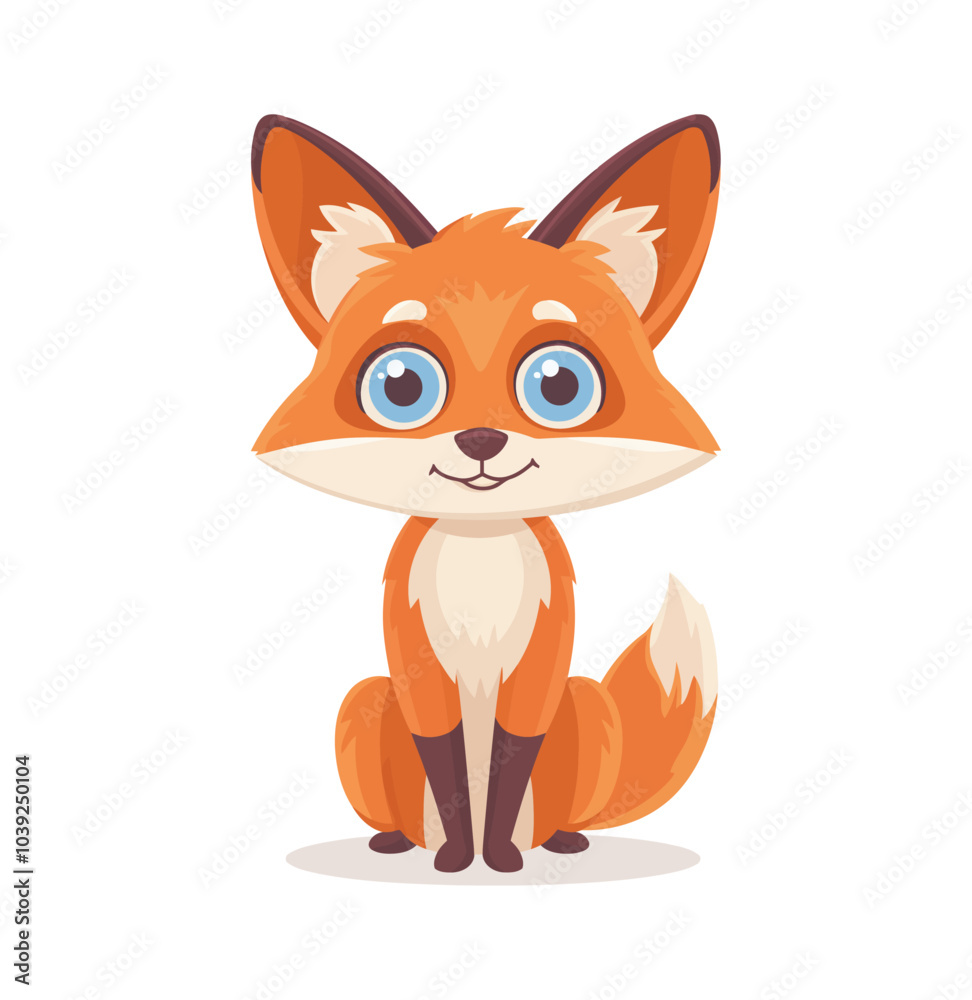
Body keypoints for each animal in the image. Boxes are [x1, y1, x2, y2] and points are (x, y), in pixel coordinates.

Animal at [249, 113, 721, 873]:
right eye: (402, 385)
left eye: (560, 385)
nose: (479, 439)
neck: (480, 554)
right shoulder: (416, 671)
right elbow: (445, 768)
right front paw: (455, 860)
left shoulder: (539, 673)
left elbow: (508, 763)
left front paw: (496, 860)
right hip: (363, 702)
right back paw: (398, 843)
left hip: (582, 704)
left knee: (554, 807)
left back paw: (558, 841)